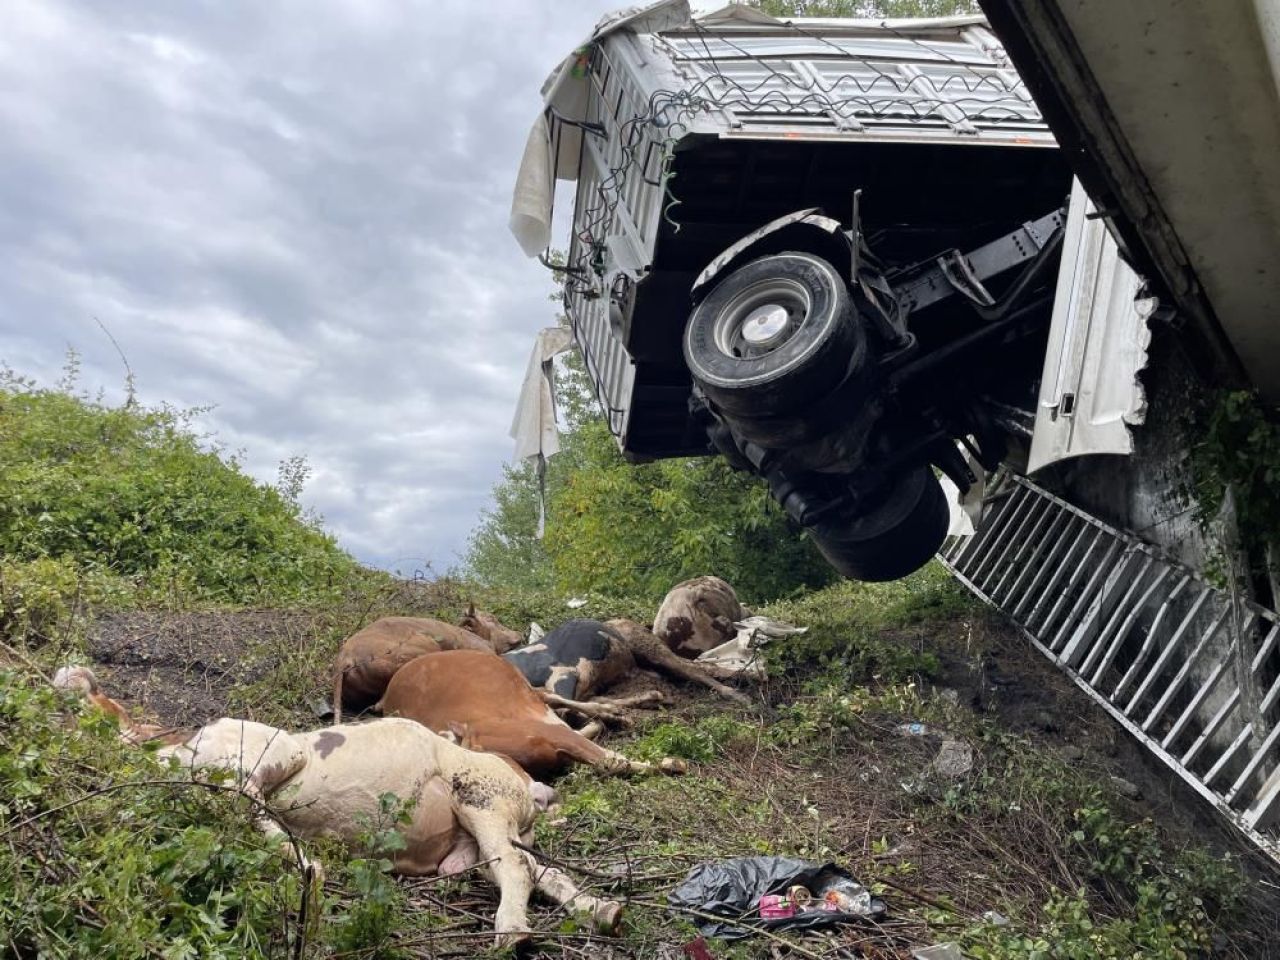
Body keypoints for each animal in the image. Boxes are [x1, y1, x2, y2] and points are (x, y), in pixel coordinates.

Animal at [160, 716, 619, 942]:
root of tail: (528, 789)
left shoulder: (261, 754)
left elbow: (247, 798)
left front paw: (311, 870)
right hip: (488, 828)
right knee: (539, 869)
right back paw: (604, 912)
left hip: (481, 796)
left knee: (517, 867)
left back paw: (513, 932)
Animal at [373, 650, 686, 783]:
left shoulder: (552, 734)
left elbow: (611, 761)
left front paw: (672, 763)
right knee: (555, 702)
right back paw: (612, 715)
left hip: (525, 691)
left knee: (552, 697)